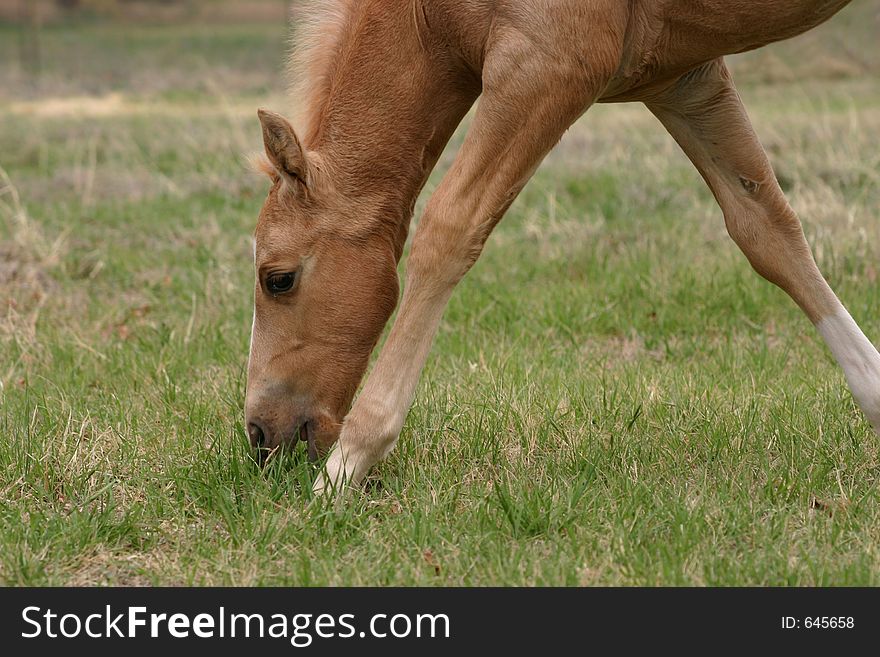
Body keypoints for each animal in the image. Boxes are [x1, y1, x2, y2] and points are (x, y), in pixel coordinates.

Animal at [242, 0, 880, 494]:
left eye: (278, 278)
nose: (259, 435)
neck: (425, 14)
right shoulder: (685, 80)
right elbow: (766, 231)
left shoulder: (548, 64)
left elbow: (449, 229)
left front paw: (345, 468)